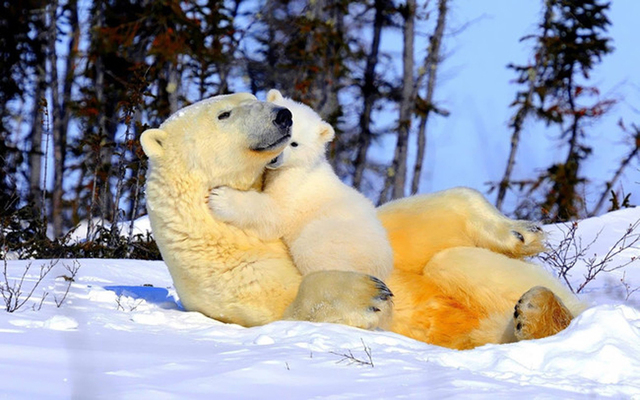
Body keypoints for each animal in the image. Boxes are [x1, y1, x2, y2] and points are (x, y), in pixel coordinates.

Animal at [208, 89, 392, 280]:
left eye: (294, 144)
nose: (274, 158)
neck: (303, 165)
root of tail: (382, 265)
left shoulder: (294, 182)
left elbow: (276, 211)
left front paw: (220, 198)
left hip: (334, 237)